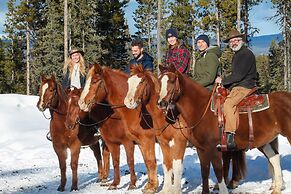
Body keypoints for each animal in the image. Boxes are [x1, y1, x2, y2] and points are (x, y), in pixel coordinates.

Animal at [157, 67, 288, 194]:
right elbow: (204, 171)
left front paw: (223, 190)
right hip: (265, 141)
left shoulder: (214, 149)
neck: (201, 108)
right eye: (159, 82)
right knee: (274, 157)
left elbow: (218, 171)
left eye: (172, 81)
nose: (161, 103)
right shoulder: (201, 149)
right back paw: (277, 188)